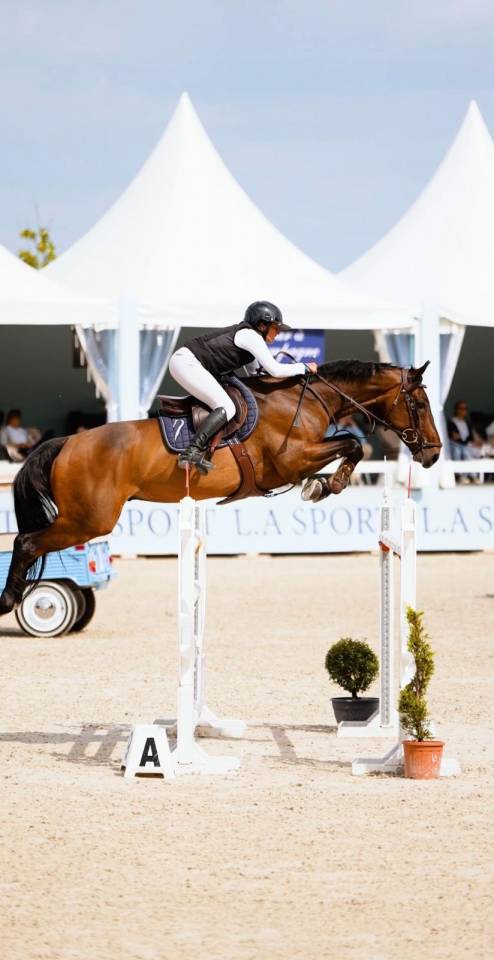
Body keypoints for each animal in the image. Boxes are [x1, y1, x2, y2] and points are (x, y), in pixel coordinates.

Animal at [0, 359, 440, 617]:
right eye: (418, 404)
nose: (434, 454)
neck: (304, 400)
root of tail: (67, 442)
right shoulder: (291, 460)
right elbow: (352, 442)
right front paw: (325, 485)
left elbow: (350, 444)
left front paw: (323, 485)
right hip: (88, 520)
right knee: (26, 541)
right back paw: (8, 601)